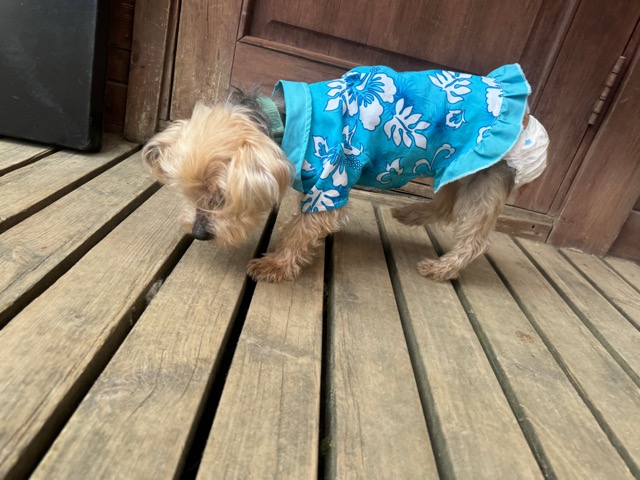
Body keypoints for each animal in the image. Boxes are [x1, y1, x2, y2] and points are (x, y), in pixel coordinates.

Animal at [142, 64, 549, 283]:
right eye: (189, 194)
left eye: (221, 198)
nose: (197, 234)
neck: (279, 122)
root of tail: (526, 116)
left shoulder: (330, 181)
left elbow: (304, 227)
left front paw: (275, 265)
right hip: (458, 164)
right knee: (445, 203)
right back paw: (409, 213)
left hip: (481, 169)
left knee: (474, 236)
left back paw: (442, 267)